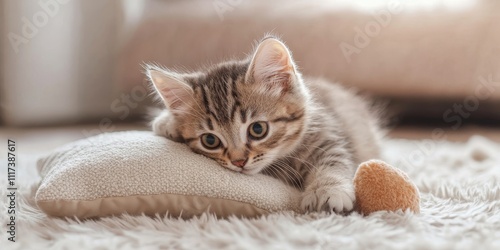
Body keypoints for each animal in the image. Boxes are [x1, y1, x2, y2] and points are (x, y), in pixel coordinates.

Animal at [146, 37, 380, 213]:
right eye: (210, 140)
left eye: (257, 129)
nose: (239, 161)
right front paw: (168, 122)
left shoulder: (328, 133)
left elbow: (333, 158)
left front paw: (328, 190)